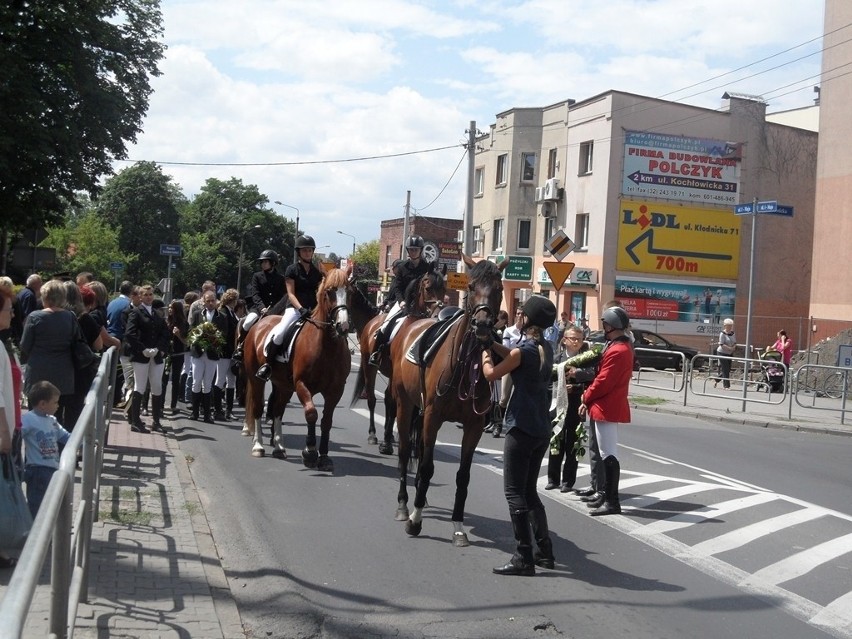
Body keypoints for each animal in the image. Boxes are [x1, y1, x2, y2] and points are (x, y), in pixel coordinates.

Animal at [241, 268, 354, 472]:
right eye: (329, 292)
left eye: (349, 292)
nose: (343, 326)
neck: (326, 347)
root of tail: (262, 321)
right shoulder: (302, 385)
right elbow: (311, 413)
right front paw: (310, 452)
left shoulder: (335, 390)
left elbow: (326, 421)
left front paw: (324, 457)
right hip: (256, 379)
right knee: (258, 408)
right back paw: (259, 446)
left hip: (284, 386)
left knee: (277, 410)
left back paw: (279, 447)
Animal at [352, 264, 450, 456]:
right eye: (428, 288)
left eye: (444, 289)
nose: (438, 314)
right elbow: (392, 403)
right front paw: (387, 443)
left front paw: (397, 440)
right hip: (370, 366)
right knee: (373, 399)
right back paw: (373, 434)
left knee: (388, 398)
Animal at [392, 258, 510, 548]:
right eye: (471, 285)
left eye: (499, 288)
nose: (483, 325)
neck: (462, 363)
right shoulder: (432, 417)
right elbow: (427, 466)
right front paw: (415, 520)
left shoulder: (474, 426)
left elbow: (463, 476)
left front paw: (458, 527)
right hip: (405, 405)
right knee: (405, 452)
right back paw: (404, 505)